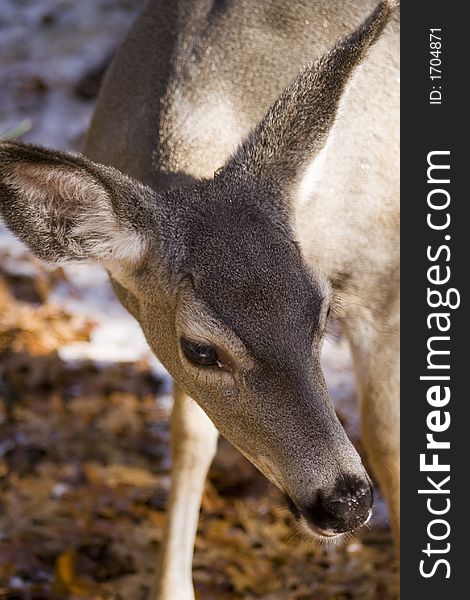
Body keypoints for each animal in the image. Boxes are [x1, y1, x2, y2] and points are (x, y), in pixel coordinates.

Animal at [0, 2, 400, 596]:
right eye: (201, 350)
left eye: (319, 314)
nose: (345, 502)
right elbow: (190, 439)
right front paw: (172, 585)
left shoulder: (382, 285)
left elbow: (386, 438)